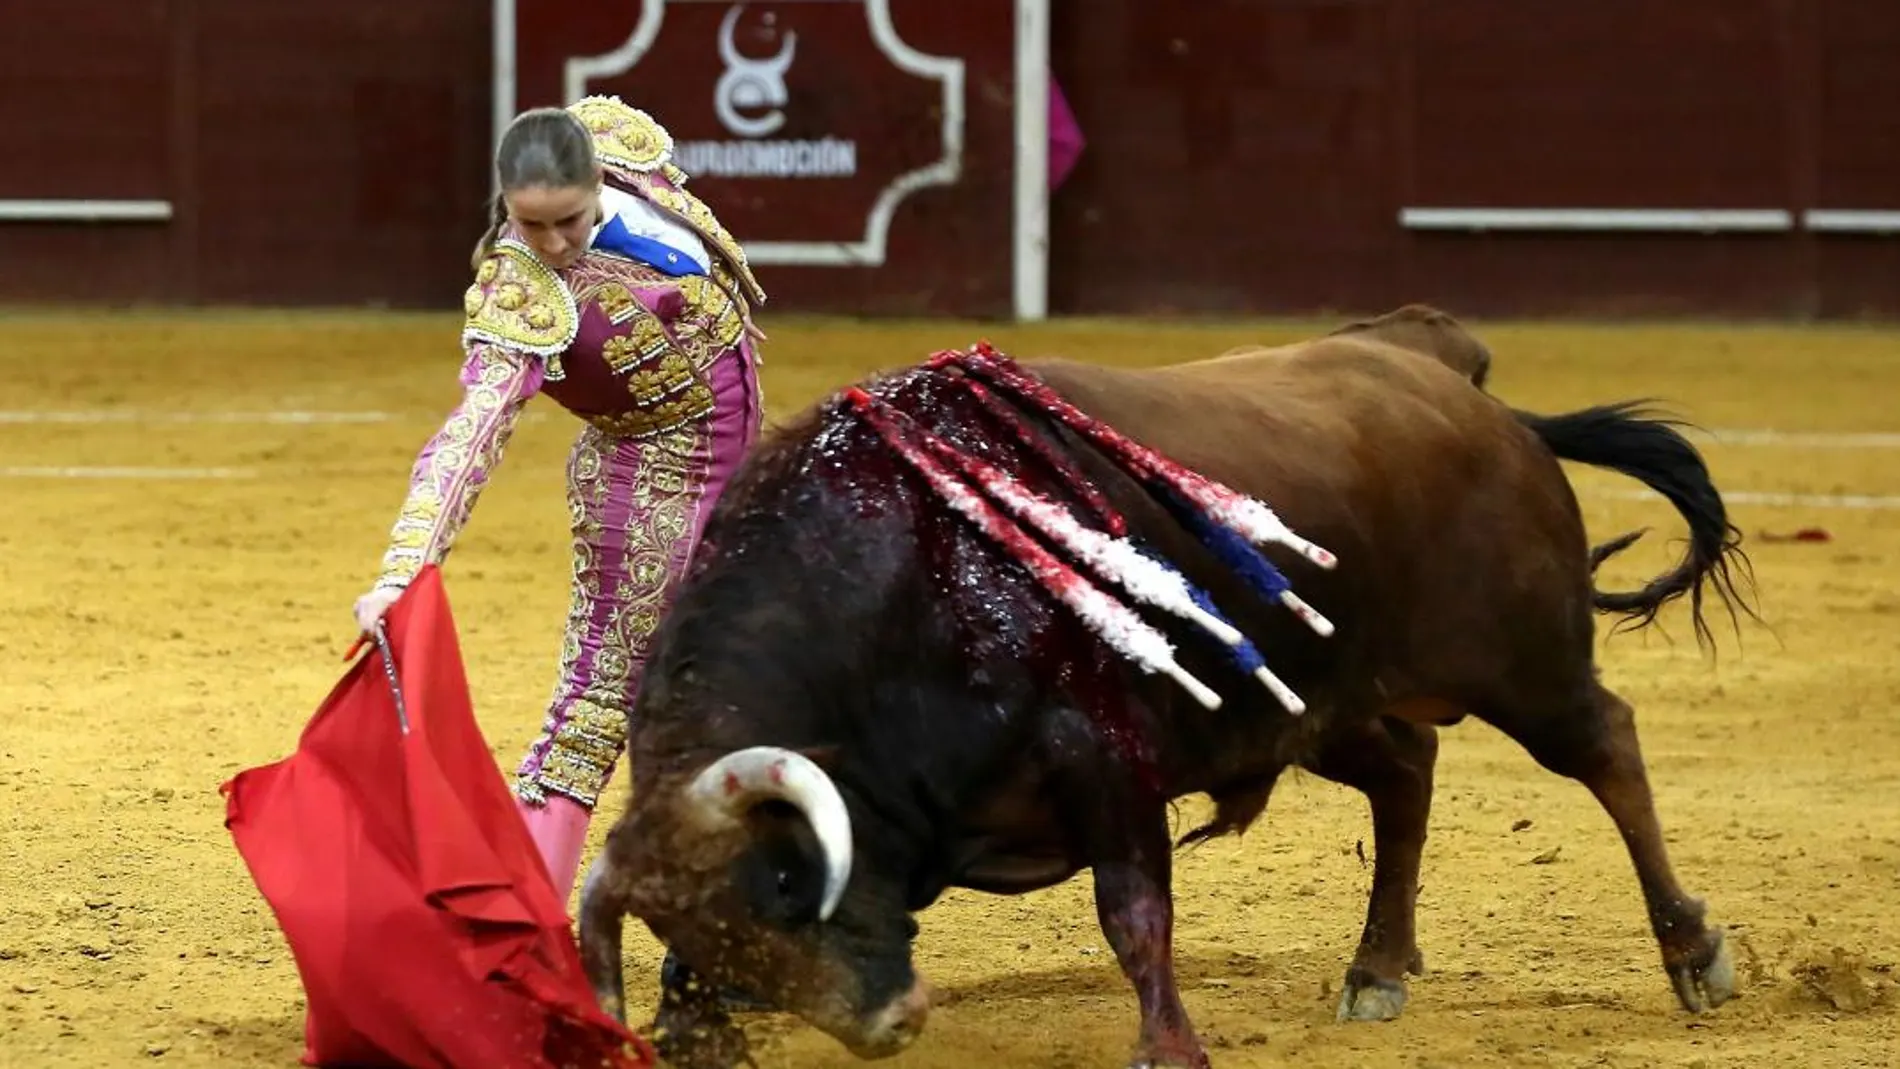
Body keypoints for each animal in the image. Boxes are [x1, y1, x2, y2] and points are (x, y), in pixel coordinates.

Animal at [573, 307, 1748, 1069]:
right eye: (722, 926)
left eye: (787, 883)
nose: (889, 1023)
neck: (902, 578)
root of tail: (1450, 376)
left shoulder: (1106, 757)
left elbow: (1133, 909)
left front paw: (1169, 1046)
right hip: (1313, 702)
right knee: (1405, 772)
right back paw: (1377, 968)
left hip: (1525, 664)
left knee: (1606, 747)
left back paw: (1693, 953)